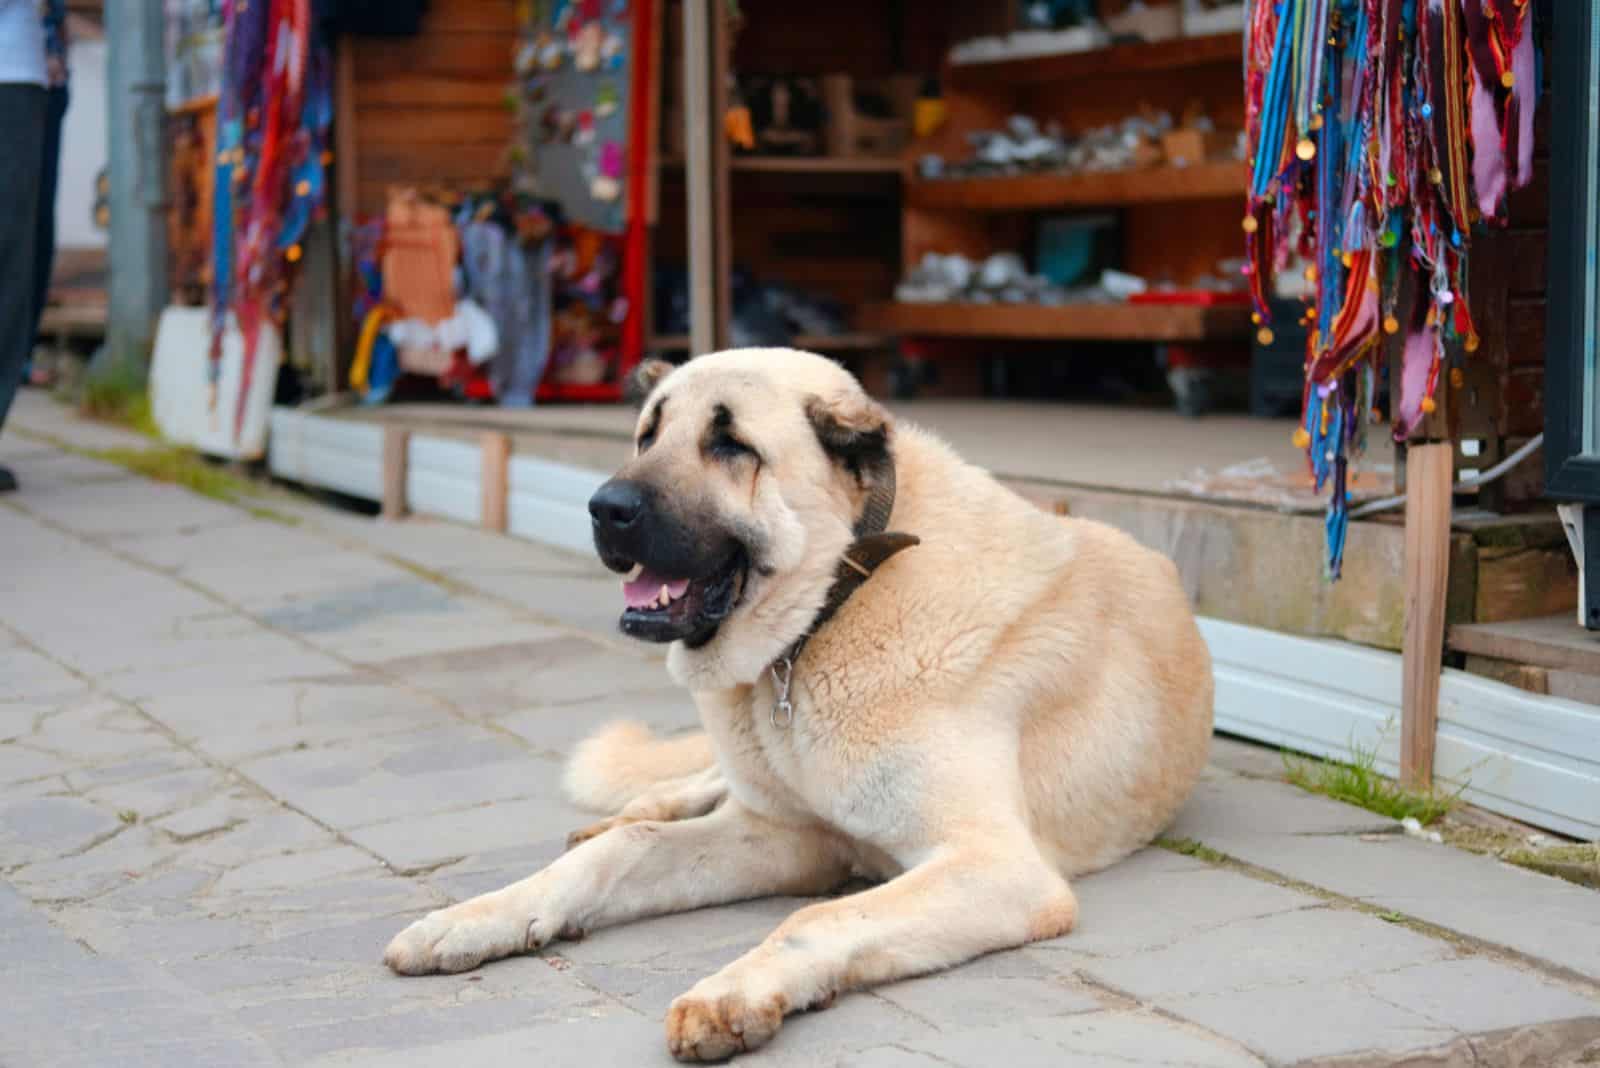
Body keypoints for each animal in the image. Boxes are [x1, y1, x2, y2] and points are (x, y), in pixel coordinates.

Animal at [387, 348, 1209, 1061]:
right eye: (647, 435)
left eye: (731, 445)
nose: (602, 506)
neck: (828, 611)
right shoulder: (783, 835)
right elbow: (626, 854)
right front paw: (474, 918)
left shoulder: (994, 865)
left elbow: (820, 914)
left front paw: (733, 992)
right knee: (682, 794)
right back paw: (630, 809)